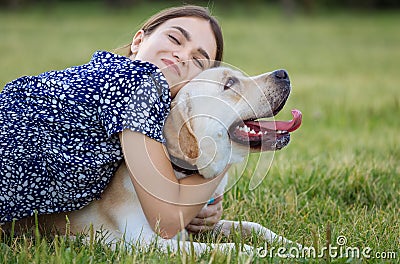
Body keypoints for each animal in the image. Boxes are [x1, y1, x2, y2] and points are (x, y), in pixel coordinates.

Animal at [4, 67, 302, 255]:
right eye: (229, 84)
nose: (284, 73)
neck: (178, 173)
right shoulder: (146, 242)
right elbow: (226, 249)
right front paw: (260, 253)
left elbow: (254, 227)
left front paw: (293, 245)